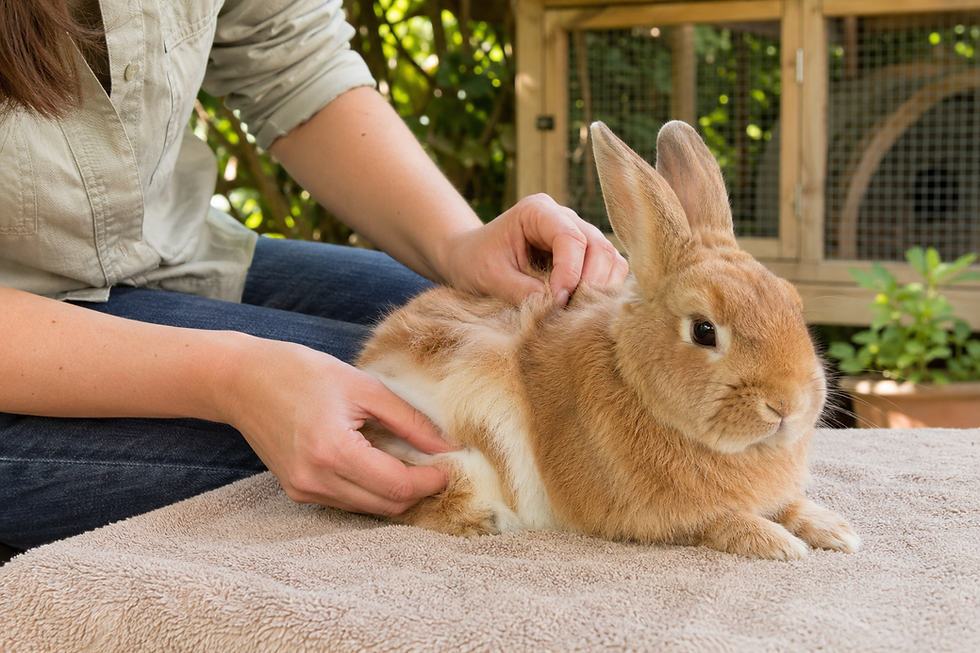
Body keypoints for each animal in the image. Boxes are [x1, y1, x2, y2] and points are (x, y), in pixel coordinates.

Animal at [355, 120, 861, 560]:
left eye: (792, 303)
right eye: (704, 330)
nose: (788, 405)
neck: (638, 388)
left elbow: (790, 506)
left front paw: (835, 530)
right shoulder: (661, 517)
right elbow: (720, 522)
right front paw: (778, 543)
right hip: (450, 454)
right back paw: (481, 522)